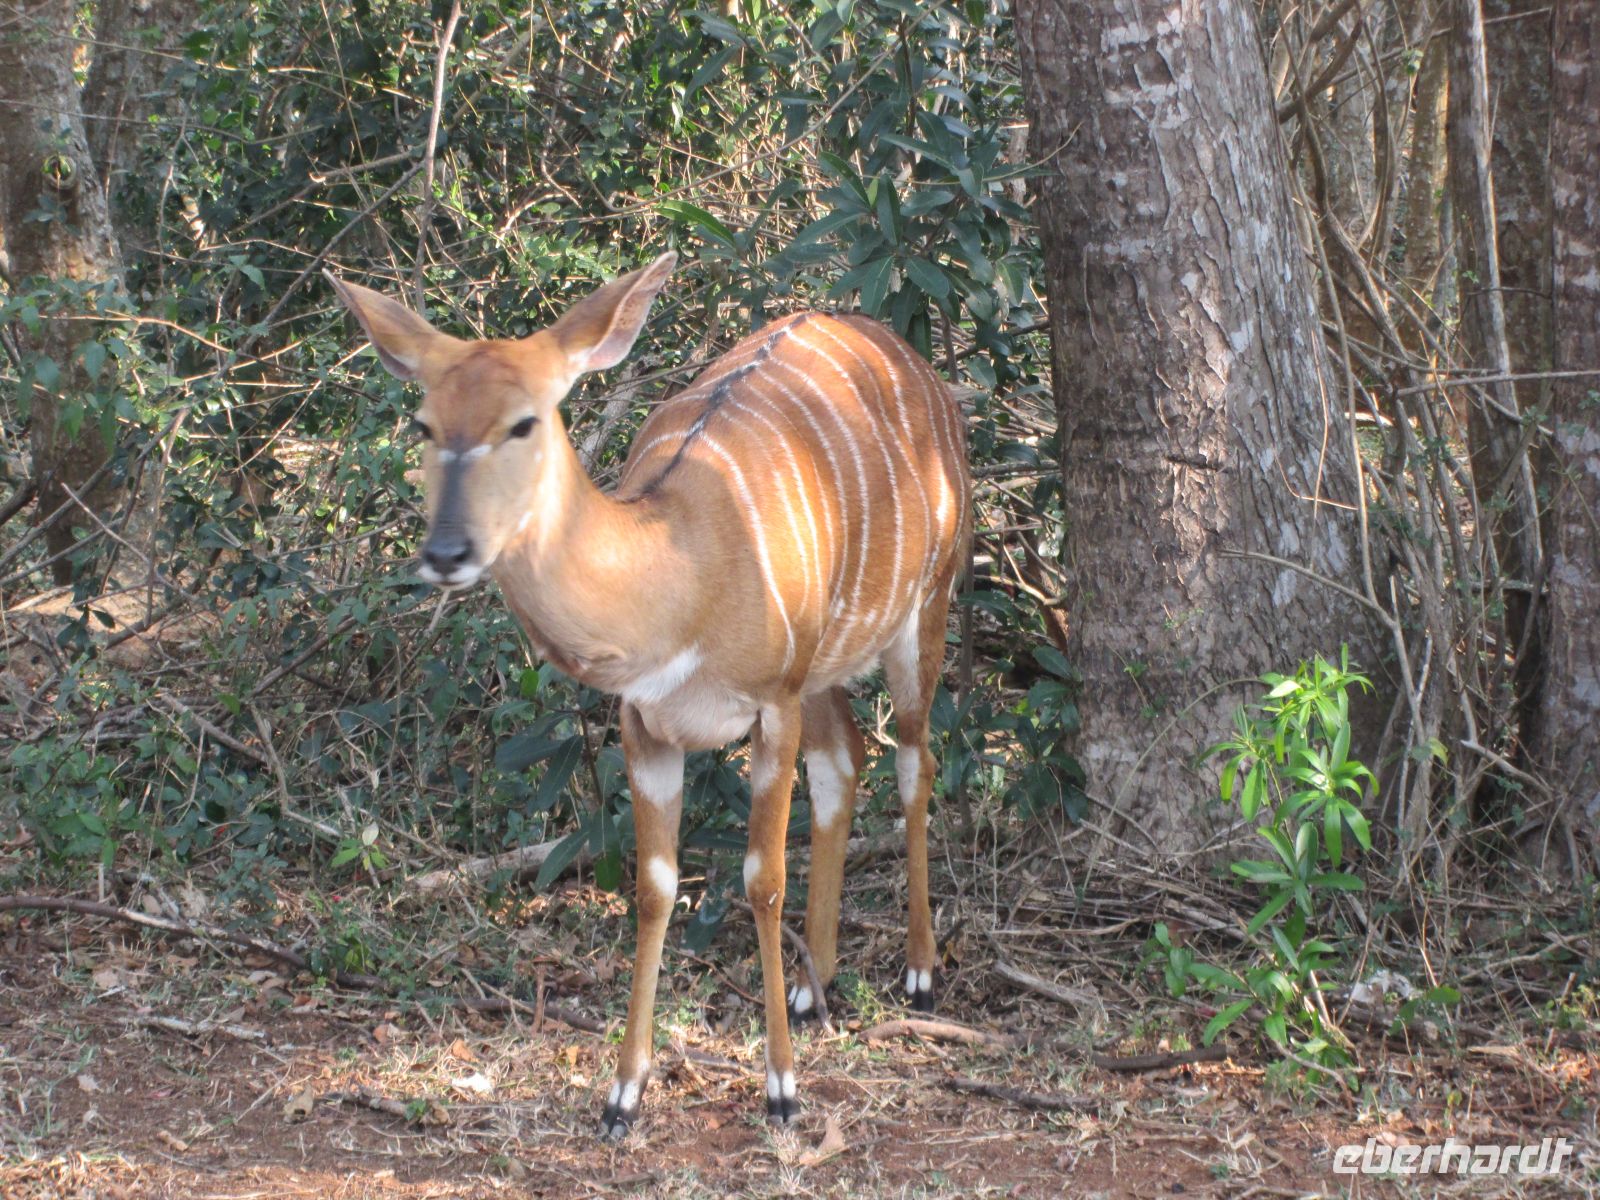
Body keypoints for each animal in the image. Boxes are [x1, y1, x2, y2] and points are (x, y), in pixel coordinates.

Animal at [327, 254, 972, 1137]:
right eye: (424, 426)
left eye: (524, 423)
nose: (447, 552)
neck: (681, 571)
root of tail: (913, 360)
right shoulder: (647, 724)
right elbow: (654, 886)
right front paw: (622, 1097)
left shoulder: (771, 702)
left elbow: (761, 879)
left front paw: (781, 1090)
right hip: (825, 664)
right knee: (848, 761)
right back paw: (818, 985)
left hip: (922, 606)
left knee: (914, 759)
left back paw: (919, 972)